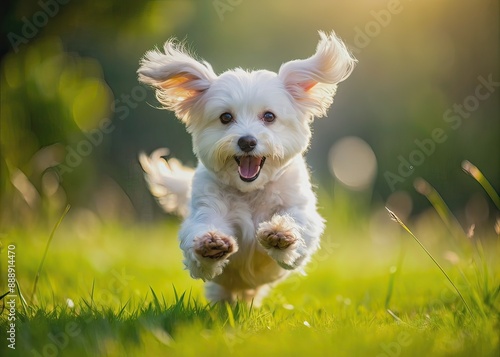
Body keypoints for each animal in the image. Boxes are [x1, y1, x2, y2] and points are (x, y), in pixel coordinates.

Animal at [138, 32, 356, 304]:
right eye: (226, 117)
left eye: (269, 116)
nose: (247, 141)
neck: (251, 191)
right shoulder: (206, 210)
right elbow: (200, 234)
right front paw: (210, 244)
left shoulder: (301, 210)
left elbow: (297, 223)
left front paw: (280, 233)